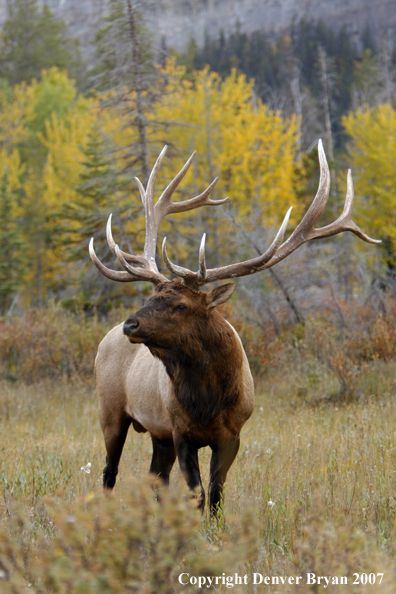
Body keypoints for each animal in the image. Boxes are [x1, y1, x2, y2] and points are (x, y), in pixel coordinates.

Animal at [88, 141, 378, 512]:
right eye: (153, 295)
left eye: (181, 305)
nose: (131, 323)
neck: (209, 400)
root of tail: (104, 339)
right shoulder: (181, 431)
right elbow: (197, 494)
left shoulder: (231, 435)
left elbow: (215, 496)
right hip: (110, 410)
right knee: (110, 471)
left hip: (156, 434)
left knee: (155, 478)